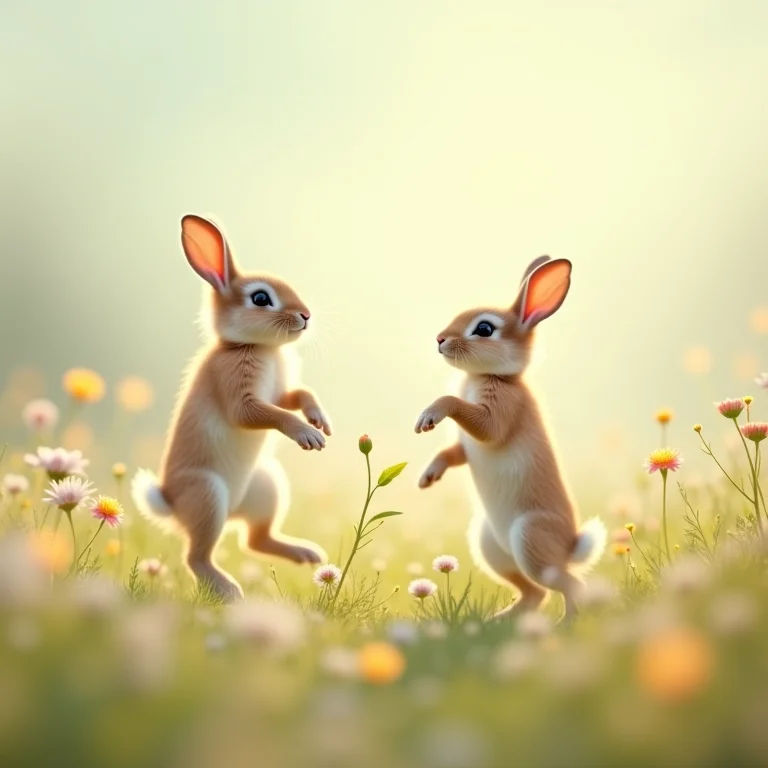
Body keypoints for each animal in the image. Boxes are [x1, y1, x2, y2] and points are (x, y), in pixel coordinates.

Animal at [131, 214, 331, 602]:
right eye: (260, 298)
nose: (306, 315)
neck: (254, 346)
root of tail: (170, 505)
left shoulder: (278, 392)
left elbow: (296, 397)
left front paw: (319, 420)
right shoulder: (239, 392)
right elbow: (264, 414)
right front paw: (308, 435)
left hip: (266, 486)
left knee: (254, 540)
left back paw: (307, 554)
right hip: (208, 497)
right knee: (197, 557)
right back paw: (230, 591)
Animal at [414, 255, 607, 622]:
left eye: (484, 329)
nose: (440, 339)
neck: (493, 375)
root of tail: (570, 547)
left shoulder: (497, 415)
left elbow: (466, 412)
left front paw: (429, 414)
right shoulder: (465, 447)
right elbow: (452, 453)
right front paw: (427, 477)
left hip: (530, 541)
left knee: (572, 586)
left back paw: (565, 625)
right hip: (491, 548)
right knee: (535, 593)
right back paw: (499, 620)